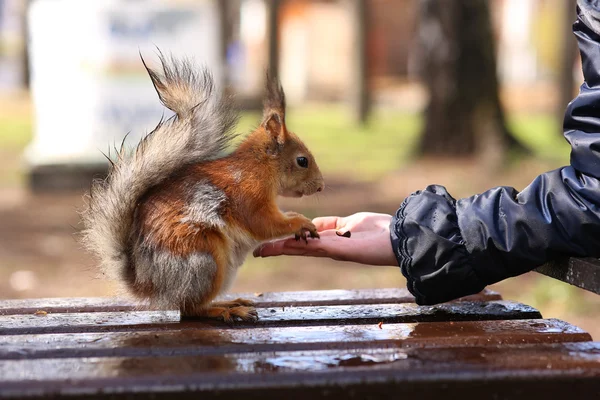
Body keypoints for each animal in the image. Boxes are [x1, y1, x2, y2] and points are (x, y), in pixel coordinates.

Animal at [81, 54, 324, 322]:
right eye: (302, 161)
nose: (321, 186)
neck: (258, 168)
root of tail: (150, 285)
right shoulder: (249, 196)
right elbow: (264, 224)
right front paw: (300, 222)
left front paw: (296, 219)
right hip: (204, 259)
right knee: (190, 310)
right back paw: (226, 310)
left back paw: (230, 302)